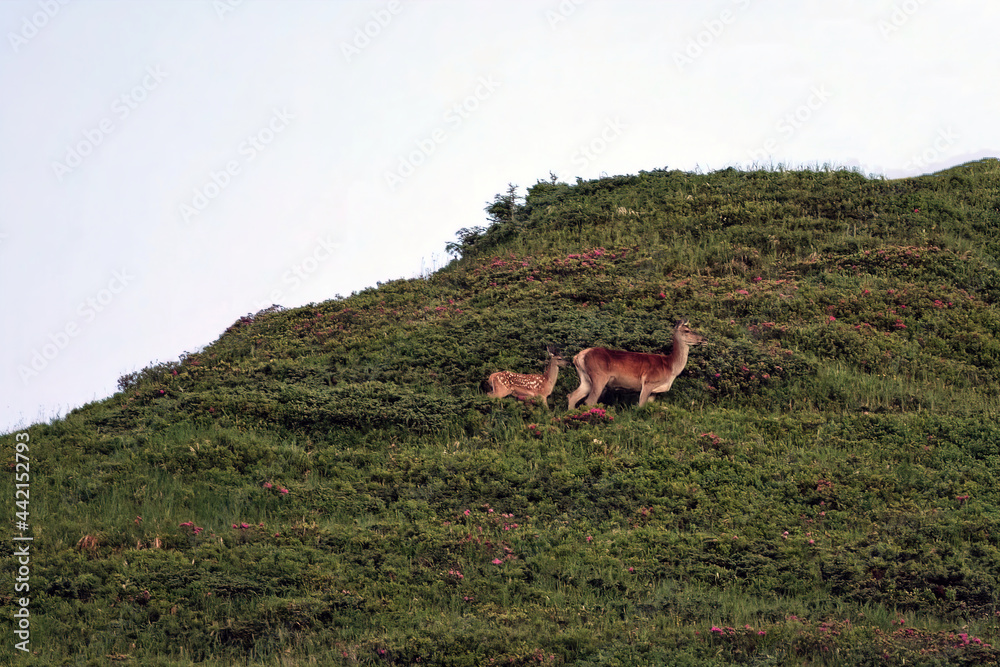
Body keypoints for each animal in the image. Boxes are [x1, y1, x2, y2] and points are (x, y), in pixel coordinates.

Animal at [567, 319, 707, 409]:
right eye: (687, 330)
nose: (705, 339)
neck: (670, 367)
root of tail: (579, 356)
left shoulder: (654, 392)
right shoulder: (648, 382)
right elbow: (640, 406)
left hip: (586, 379)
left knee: (572, 396)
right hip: (599, 376)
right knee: (590, 401)